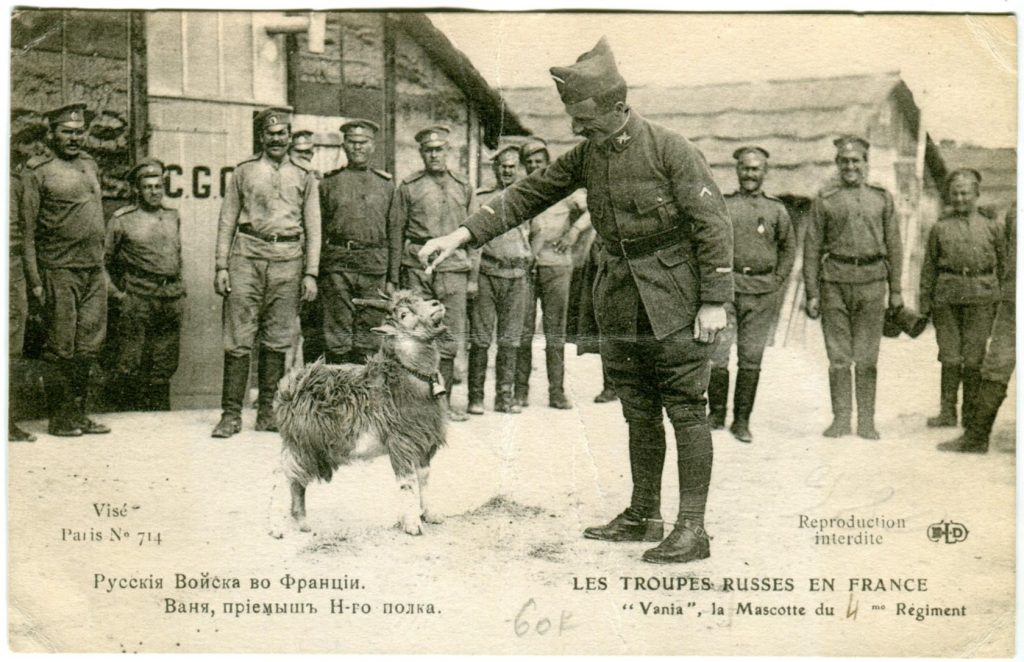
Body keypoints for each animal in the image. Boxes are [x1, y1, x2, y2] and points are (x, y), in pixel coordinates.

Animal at [270, 291, 446, 541]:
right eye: (404, 314)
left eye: (420, 299)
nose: (436, 304)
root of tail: (290, 387)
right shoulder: (401, 443)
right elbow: (408, 482)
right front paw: (412, 524)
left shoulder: (424, 442)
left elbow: (424, 478)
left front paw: (430, 514)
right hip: (301, 443)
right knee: (282, 474)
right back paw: (276, 528)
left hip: (306, 446)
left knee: (296, 480)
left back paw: (302, 522)